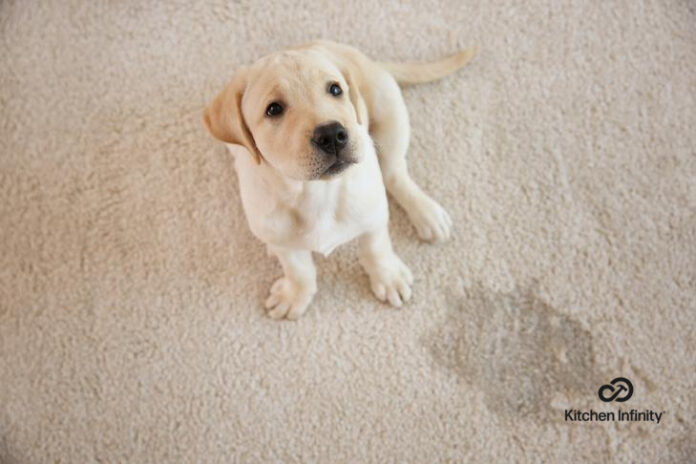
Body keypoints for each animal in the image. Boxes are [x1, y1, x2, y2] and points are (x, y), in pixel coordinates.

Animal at [201, 41, 474, 320]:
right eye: (274, 109)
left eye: (335, 89)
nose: (332, 134)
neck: (315, 193)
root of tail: (366, 60)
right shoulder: (280, 237)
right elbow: (299, 270)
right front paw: (295, 294)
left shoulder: (373, 217)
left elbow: (376, 249)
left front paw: (388, 277)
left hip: (390, 113)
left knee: (395, 173)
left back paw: (427, 213)